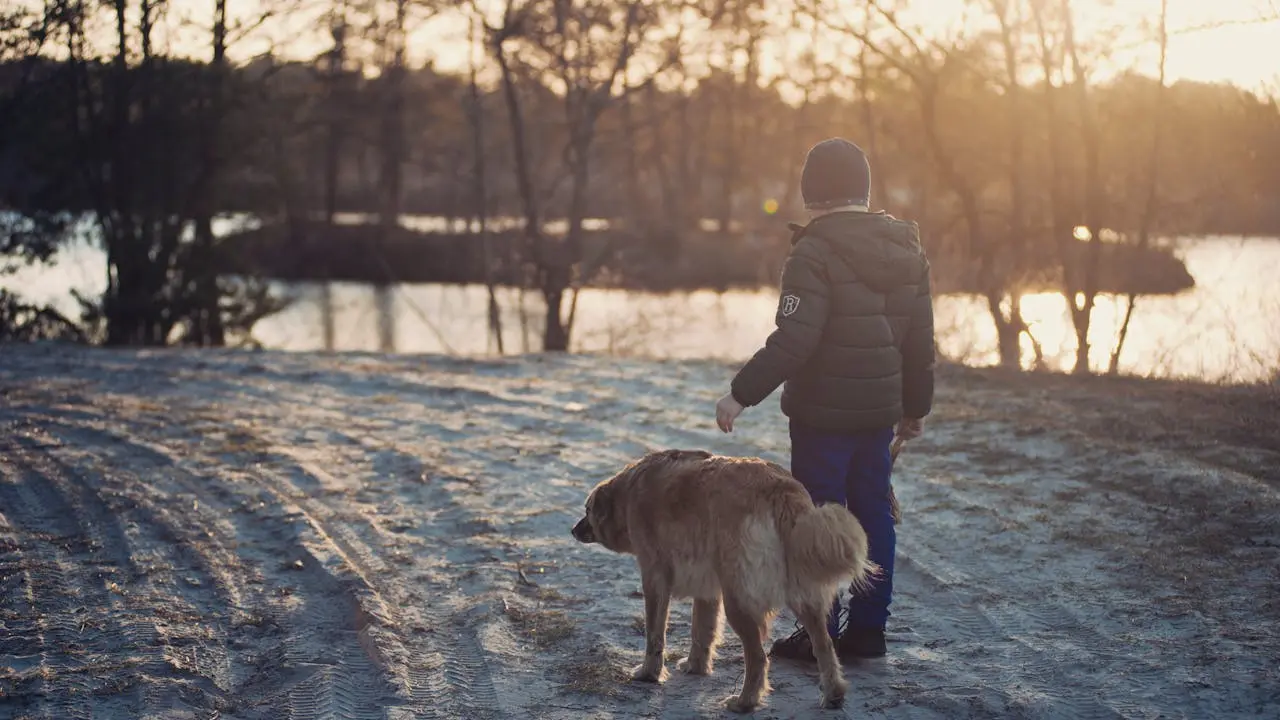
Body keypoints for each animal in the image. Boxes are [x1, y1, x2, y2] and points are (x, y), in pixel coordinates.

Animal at [573, 445, 880, 707]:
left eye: (587, 510)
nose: (573, 530)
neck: (629, 493)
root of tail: (780, 489)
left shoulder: (654, 577)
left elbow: (655, 633)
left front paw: (649, 673)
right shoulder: (708, 589)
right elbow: (702, 631)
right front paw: (696, 666)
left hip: (740, 600)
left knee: (758, 658)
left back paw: (745, 702)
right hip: (802, 596)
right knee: (825, 646)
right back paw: (833, 694)